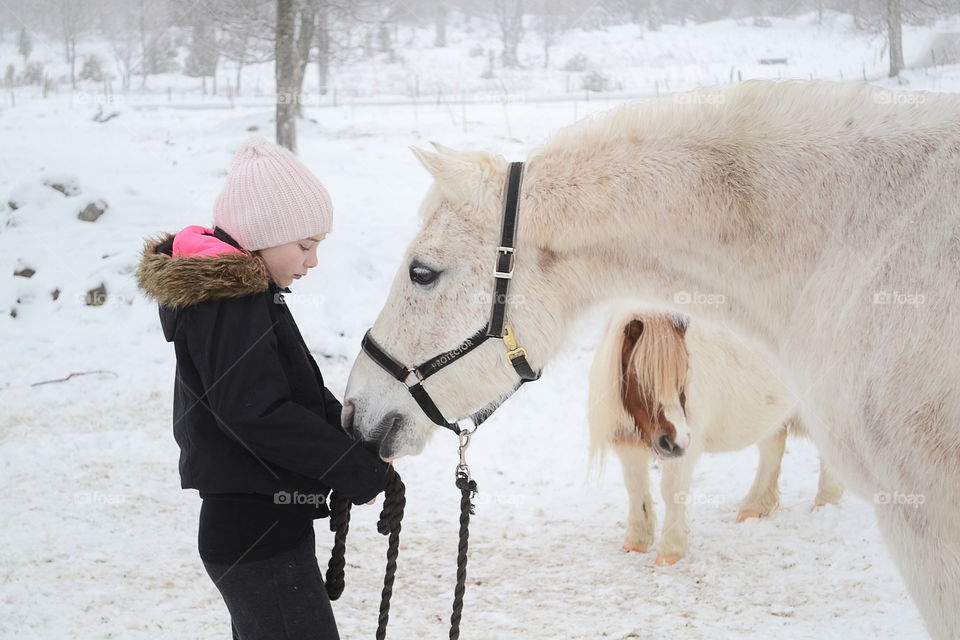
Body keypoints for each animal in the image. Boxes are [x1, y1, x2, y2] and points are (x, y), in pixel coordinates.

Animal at [588, 310, 844, 564]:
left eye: (684, 371)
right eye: (638, 375)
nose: (675, 442)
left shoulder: (686, 446)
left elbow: (672, 491)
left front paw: (670, 552)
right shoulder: (627, 442)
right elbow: (635, 488)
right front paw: (636, 542)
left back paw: (825, 503)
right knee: (773, 446)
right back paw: (754, 507)